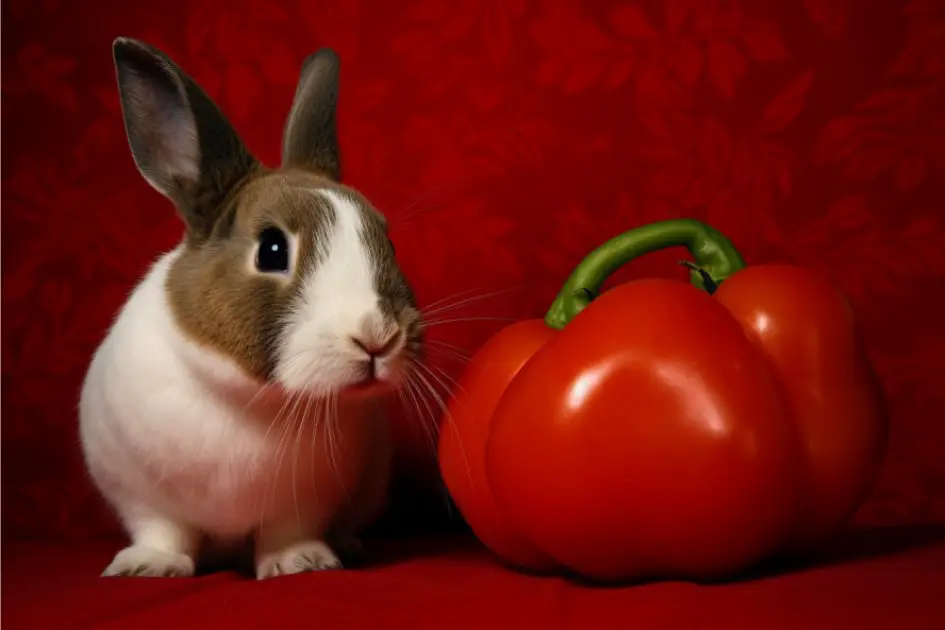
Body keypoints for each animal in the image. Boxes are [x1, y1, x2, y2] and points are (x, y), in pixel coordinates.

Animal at [75, 38, 422, 584]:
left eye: (387, 240)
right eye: (273, 250)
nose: (377, 336)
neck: (252, 397)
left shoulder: (306, 502)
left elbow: (288, 532)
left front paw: (302, 562)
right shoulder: (142, 495)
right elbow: (163, 531)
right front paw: (147, 566)